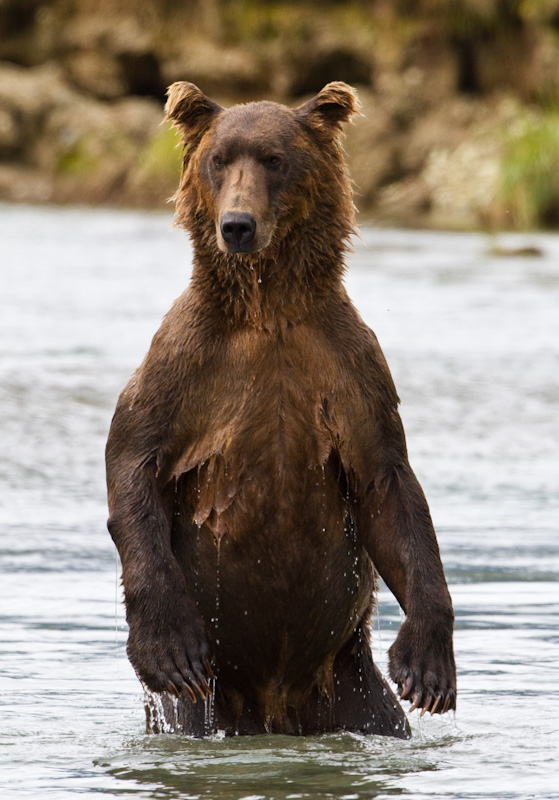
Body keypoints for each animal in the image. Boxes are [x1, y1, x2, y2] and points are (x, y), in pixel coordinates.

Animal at [105, 81, 456, 736]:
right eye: (219, 160)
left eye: (274, 159)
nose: (237, 226)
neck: (269, 308)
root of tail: (276, 705)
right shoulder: (186, 364)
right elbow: (134, 460)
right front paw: (168, 648)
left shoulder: (350, 369)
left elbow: (389, 486)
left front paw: (427, 665)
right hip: (209, 707)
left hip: (353, 688)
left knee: (379, 711)